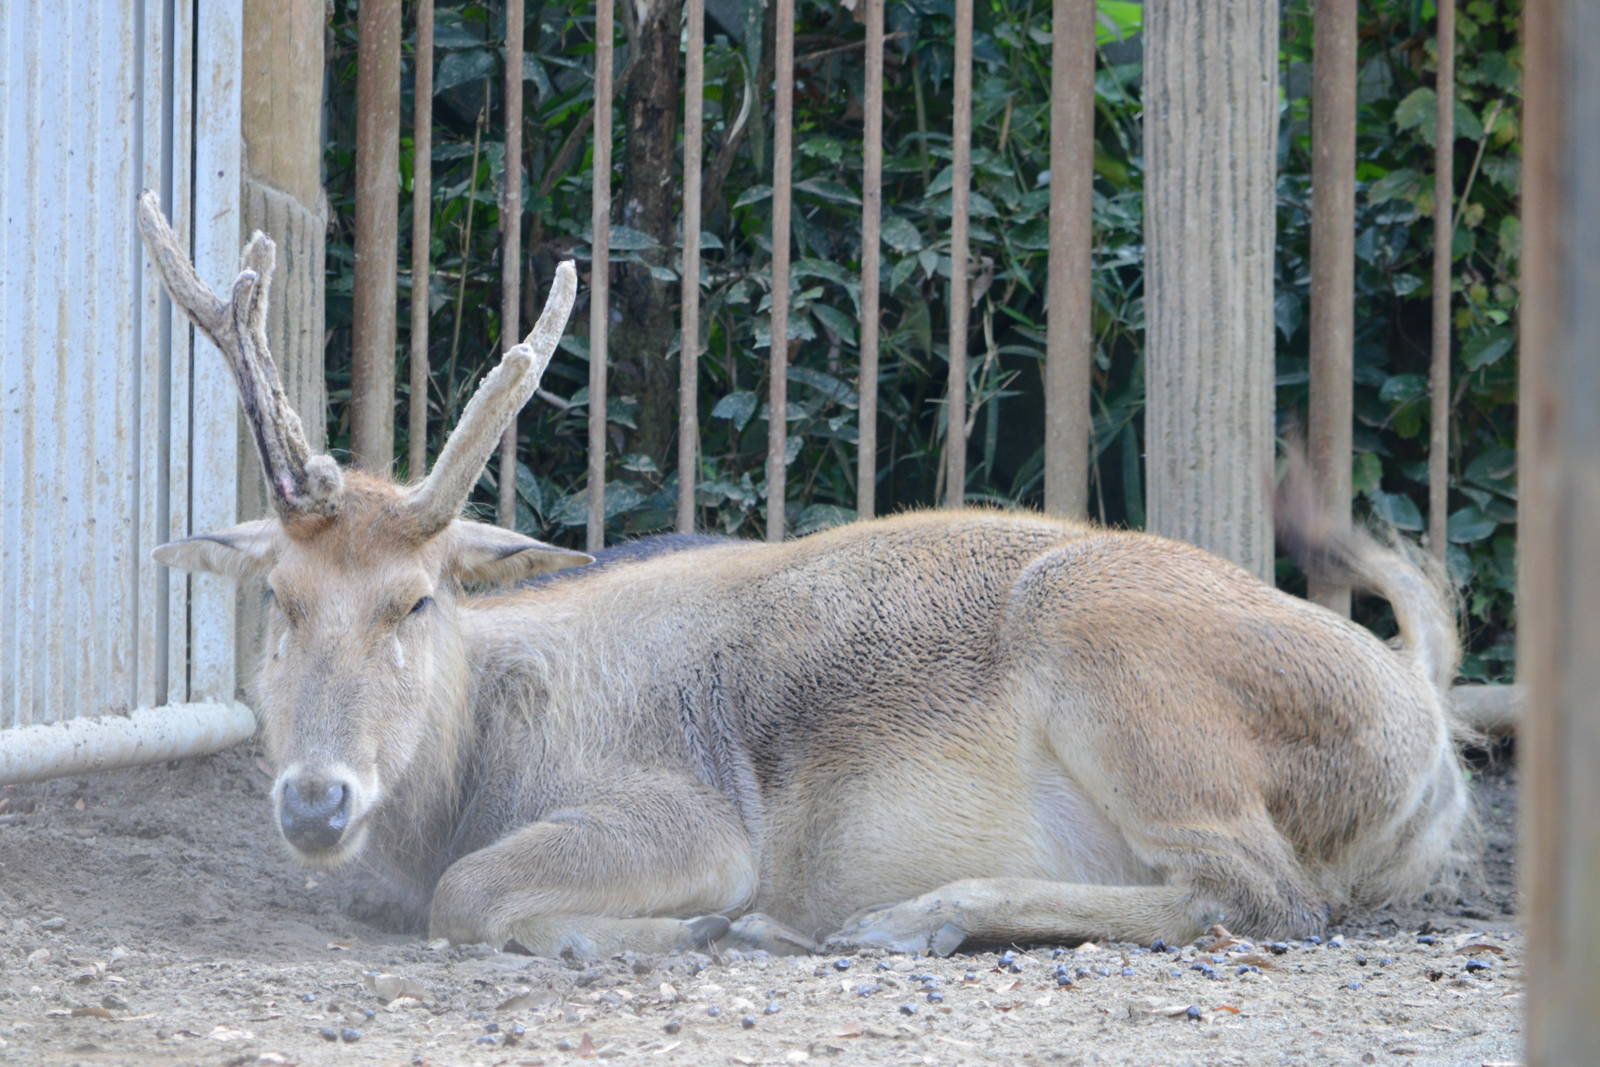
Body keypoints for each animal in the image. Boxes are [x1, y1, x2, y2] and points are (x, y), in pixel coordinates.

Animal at [137, 192, 1476, 959]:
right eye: (277, 600)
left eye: (418, 597)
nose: (317, 800)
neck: (477, 765)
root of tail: (1427, 735)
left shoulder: (682, 811)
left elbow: (466, 896)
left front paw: (655, 930)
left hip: (1126, 676)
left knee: (1261, 894)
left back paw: (888, 916)